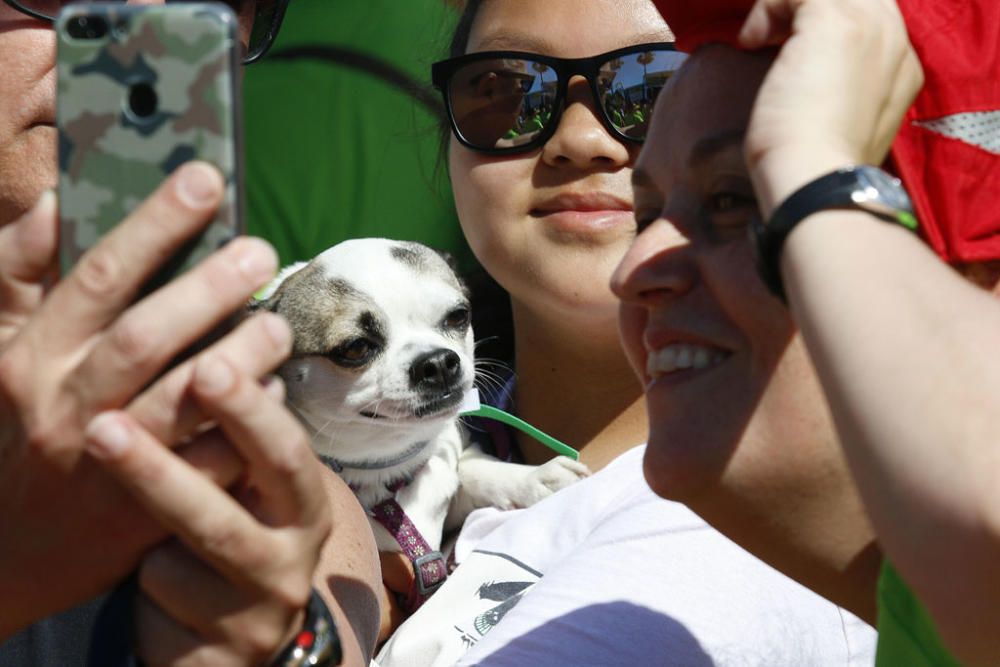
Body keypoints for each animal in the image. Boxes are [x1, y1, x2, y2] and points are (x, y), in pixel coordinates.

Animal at [250, 240, 588, 564]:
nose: (437, 362)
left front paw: (534, 478)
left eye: (458, 316)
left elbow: (472, 470)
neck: (389, 461)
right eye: (356, 347)